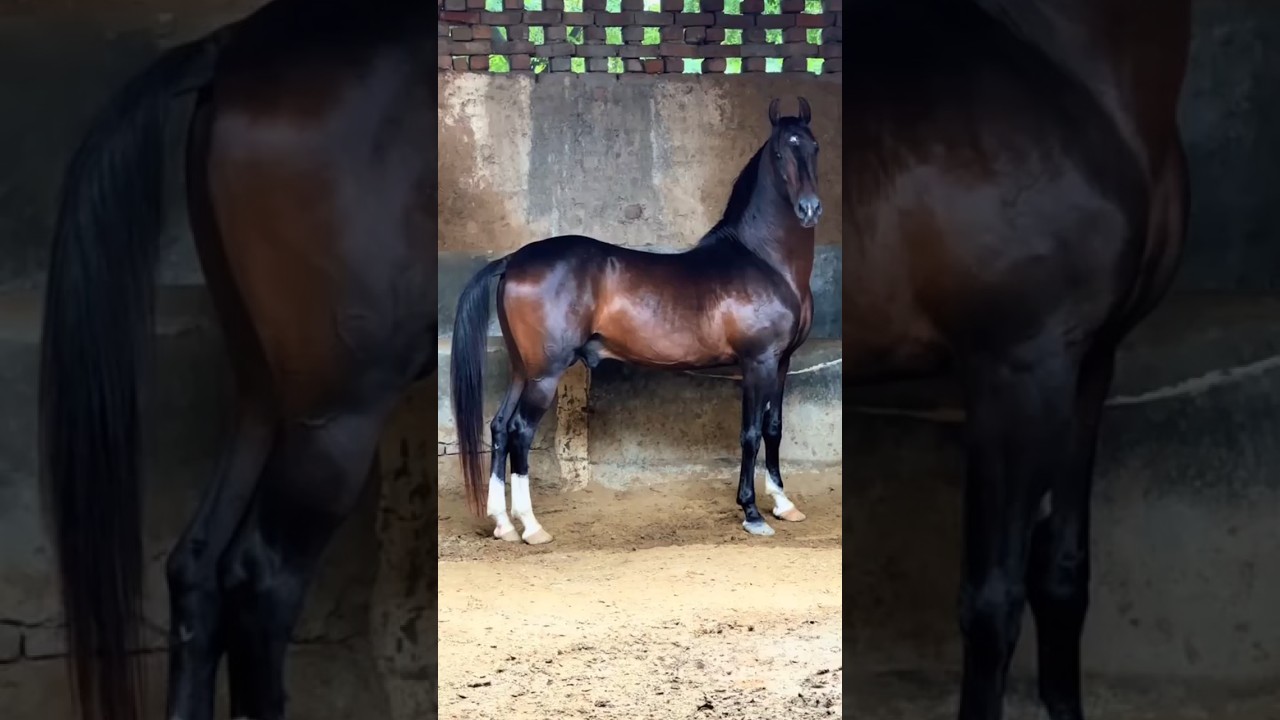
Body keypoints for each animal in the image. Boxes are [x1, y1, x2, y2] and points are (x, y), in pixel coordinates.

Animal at [450, 97, 823, 544]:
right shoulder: (757, 363)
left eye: (815, 148)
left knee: (500, 427)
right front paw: (752, 512)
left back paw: (504, 524)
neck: (763, 260)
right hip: (545, 374)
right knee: (521, 431)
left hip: (524, 369)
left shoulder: (781, 363)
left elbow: (773, 428)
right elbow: (750, 434)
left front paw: (784, 504)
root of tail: (513, 260)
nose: (809, 209)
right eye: (781, 153)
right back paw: (532, 526)